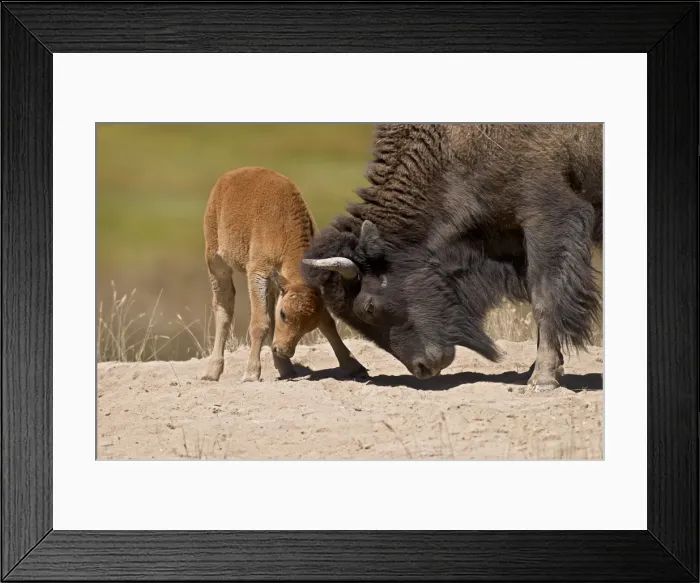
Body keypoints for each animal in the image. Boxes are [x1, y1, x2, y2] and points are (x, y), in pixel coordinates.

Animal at [301, 123, 603, 391]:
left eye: (368, 307)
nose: (423, 368)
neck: (448, 148)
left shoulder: (546, 218)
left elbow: (544, 300)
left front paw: (542, 379)